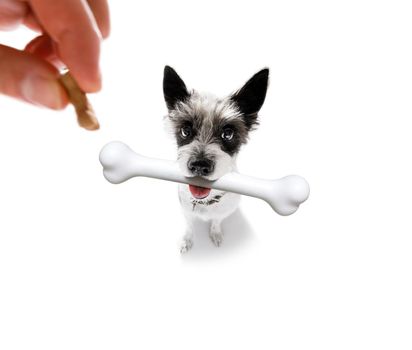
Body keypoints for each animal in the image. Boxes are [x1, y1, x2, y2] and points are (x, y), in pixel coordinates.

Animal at [163, 65, 268, 252]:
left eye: (228, 134)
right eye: (185, 131)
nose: (199, 166)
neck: (205, 202)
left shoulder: (223, 212)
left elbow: (216, 222)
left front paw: (216, 234)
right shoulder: (186, 211)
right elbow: (189, 226)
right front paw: (186, 241)